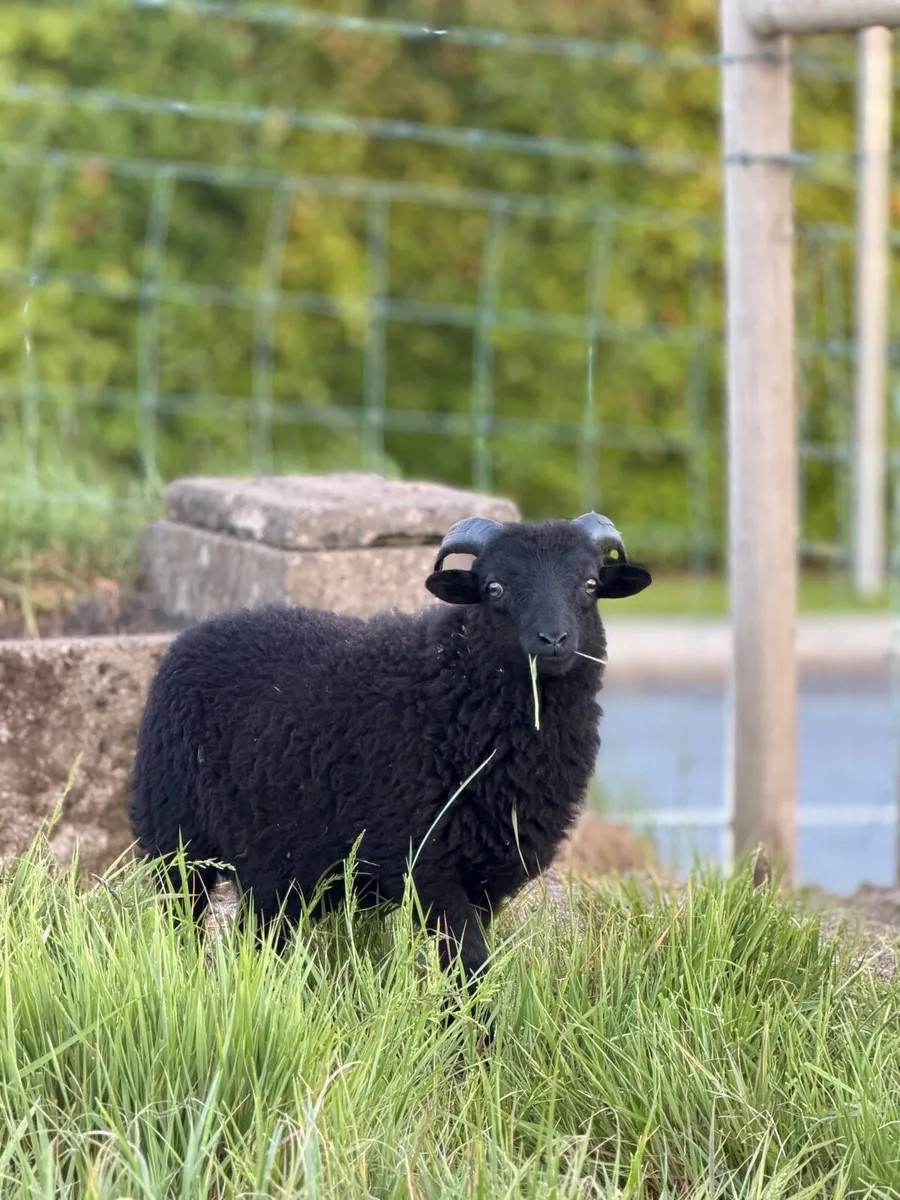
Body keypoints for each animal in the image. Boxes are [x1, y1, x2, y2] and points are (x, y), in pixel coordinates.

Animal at [129, 510, 652, 985]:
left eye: (590, 585)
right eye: (495, 589)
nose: (553, 640)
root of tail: (199, 629)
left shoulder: (486, 877)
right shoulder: (427, 866)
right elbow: (470, 965)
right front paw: (471, 1033)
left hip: (277, 863)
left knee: (256, 936)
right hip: (176, 843)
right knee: (182, 924)